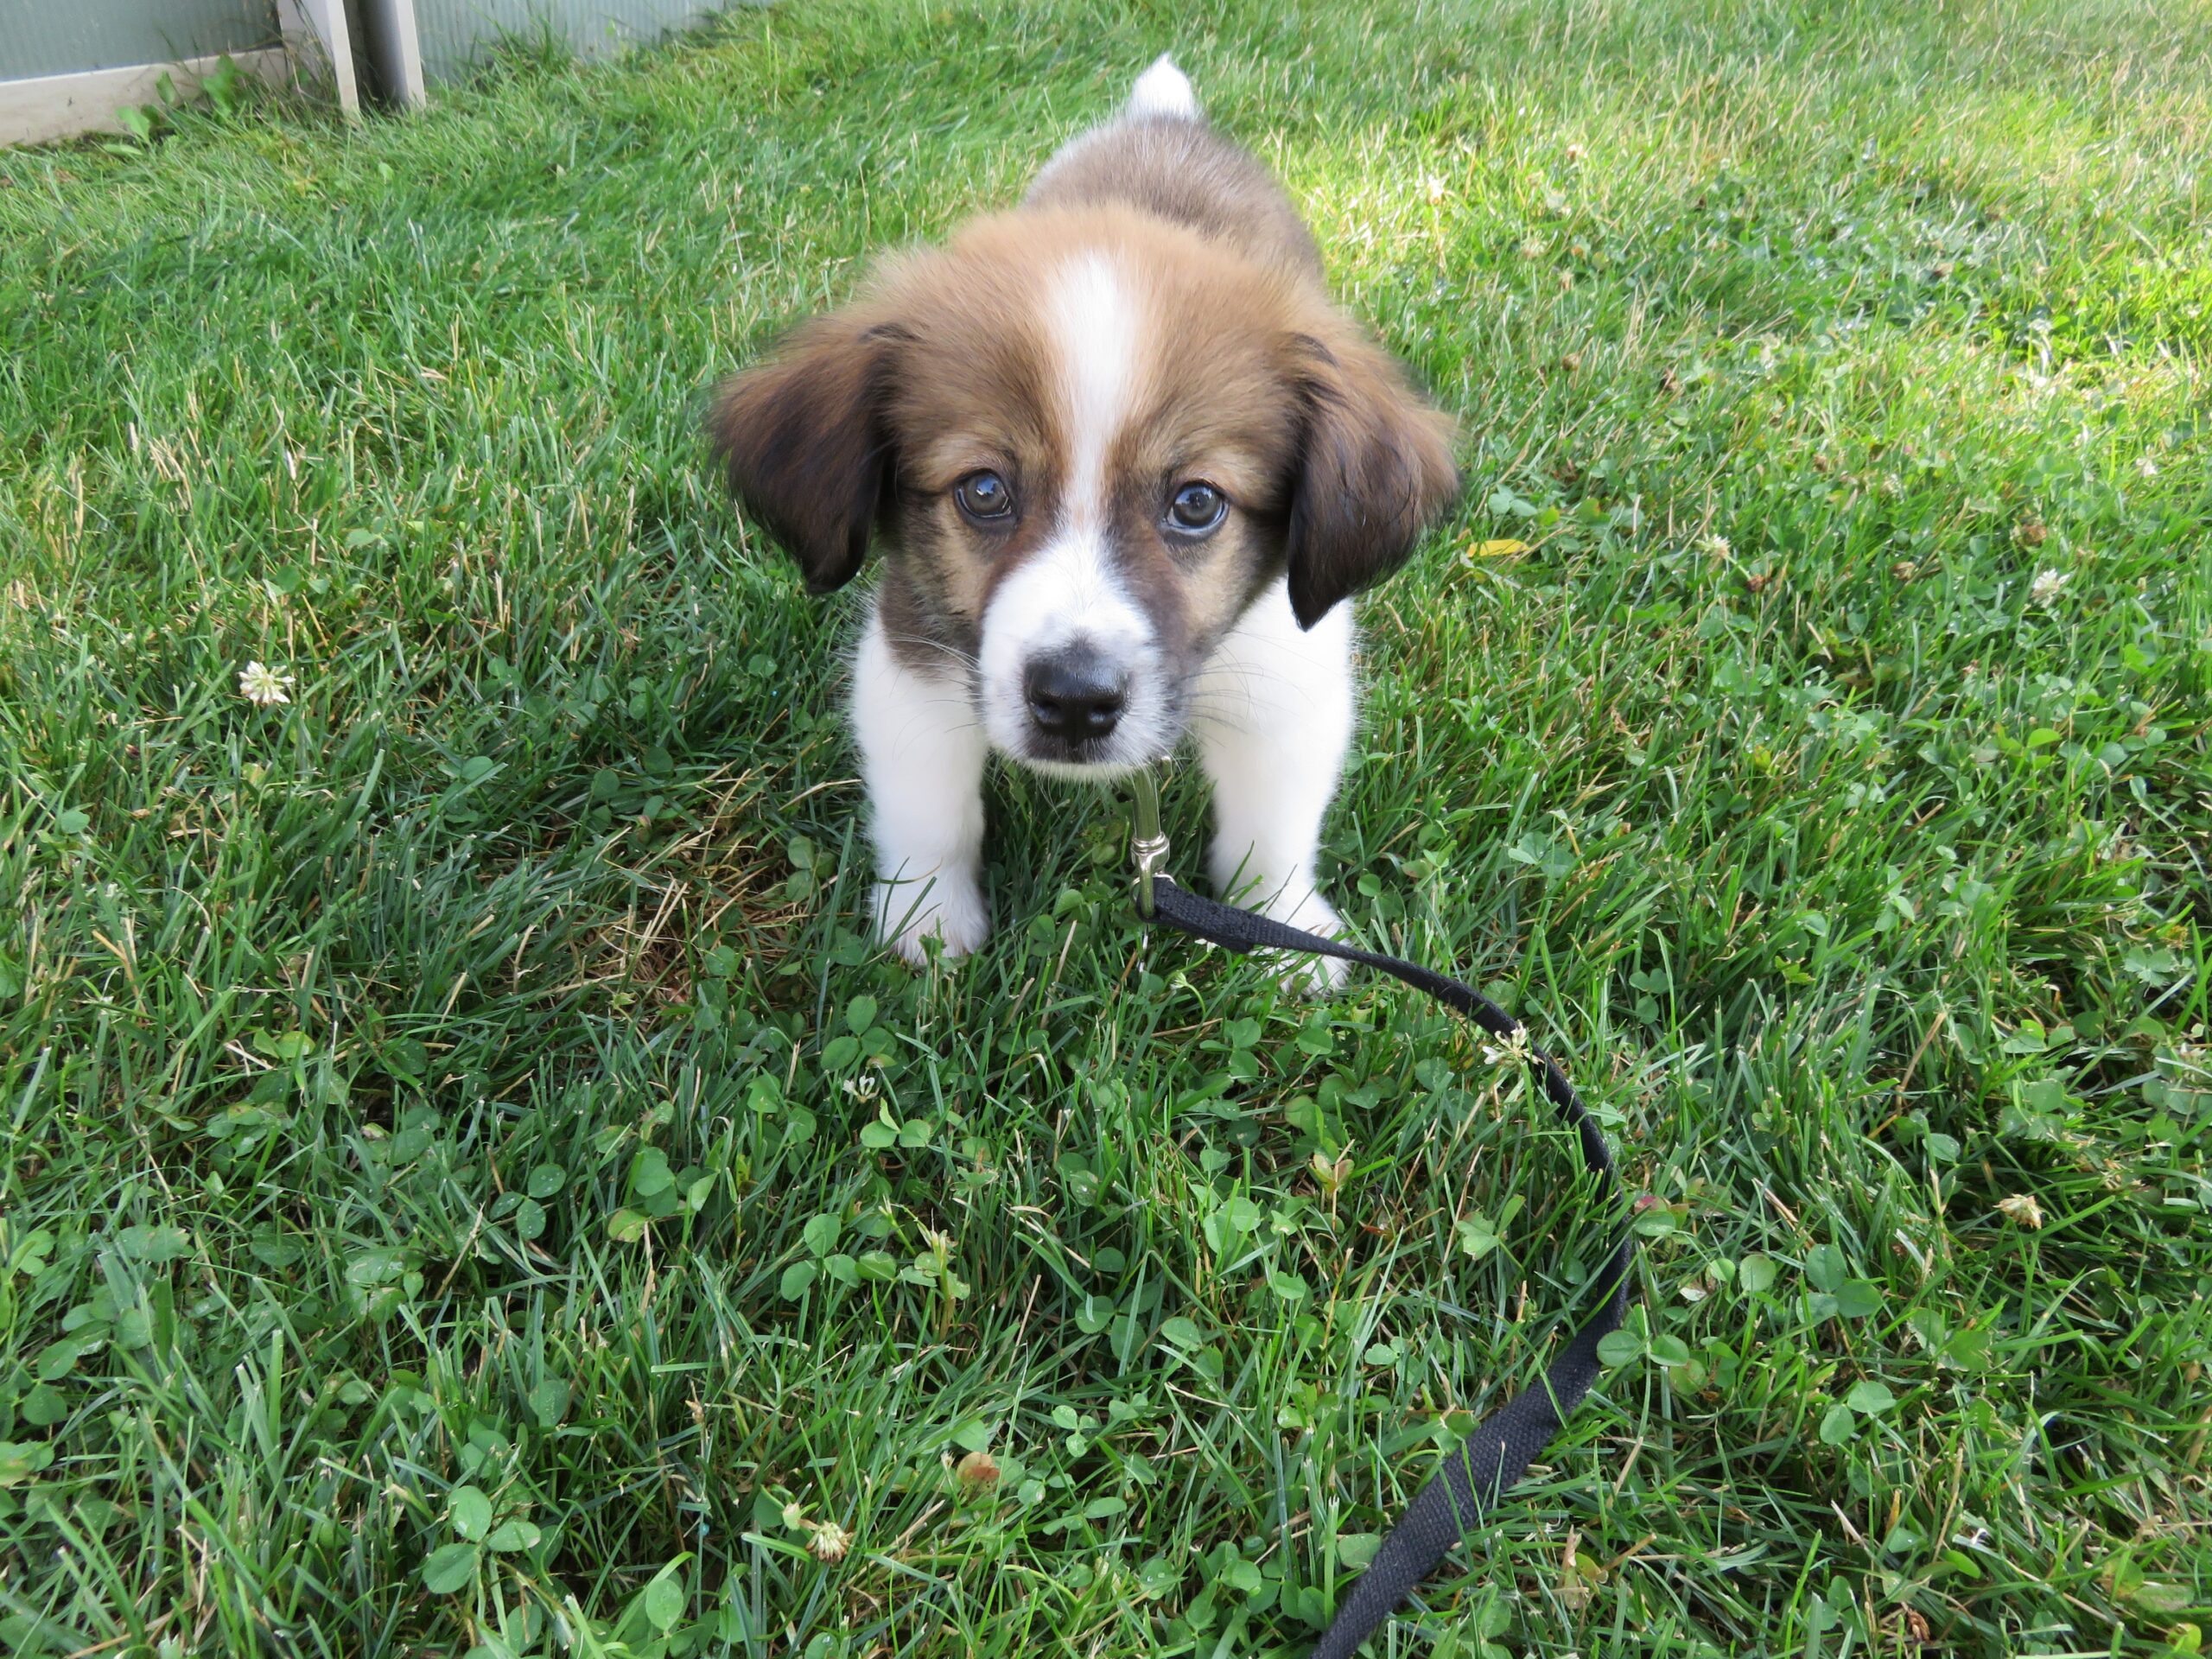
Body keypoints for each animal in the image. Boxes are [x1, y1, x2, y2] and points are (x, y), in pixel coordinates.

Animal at [716, 55, 1459, 986]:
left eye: (1196, 503)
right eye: (983, 491)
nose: (1074, 703)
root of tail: (1164, 122)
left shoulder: (1285, 667)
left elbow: (1273, 827)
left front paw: (1284, 926)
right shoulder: (917, 652)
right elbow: (929, 813)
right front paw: (928, 919)